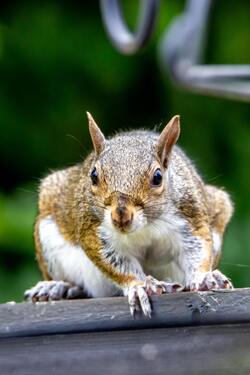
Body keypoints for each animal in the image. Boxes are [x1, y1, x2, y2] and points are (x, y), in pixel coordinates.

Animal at [24, 114, 232, 318]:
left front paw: (204, 277)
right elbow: (116, 263)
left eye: (158, 177)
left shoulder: (190, 215)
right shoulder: (92, 229)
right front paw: (140, 286)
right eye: (93, 176)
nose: (120, 215)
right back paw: (58, 287)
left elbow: (197, 248)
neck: (145, 227)